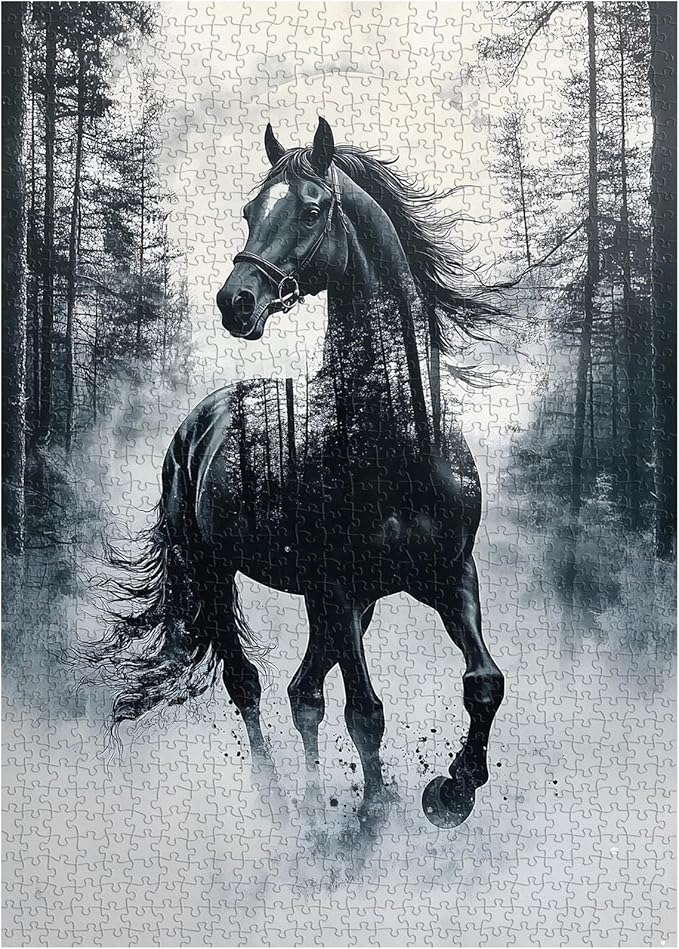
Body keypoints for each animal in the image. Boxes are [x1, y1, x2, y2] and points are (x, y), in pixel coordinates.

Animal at [95, 117, 505, 828]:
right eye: (250, 210)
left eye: (312, 209)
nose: (238, 302)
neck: (398, 447)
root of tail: (199, 420)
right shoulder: (338, 586)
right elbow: (365, 713)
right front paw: (373, 816)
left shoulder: (449, 575)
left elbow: (483, 683)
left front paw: (452, 791)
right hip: (219, 574)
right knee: (251, 685)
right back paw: (280, 805)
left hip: (347, 601)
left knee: (302, 691)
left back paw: (314, 807)